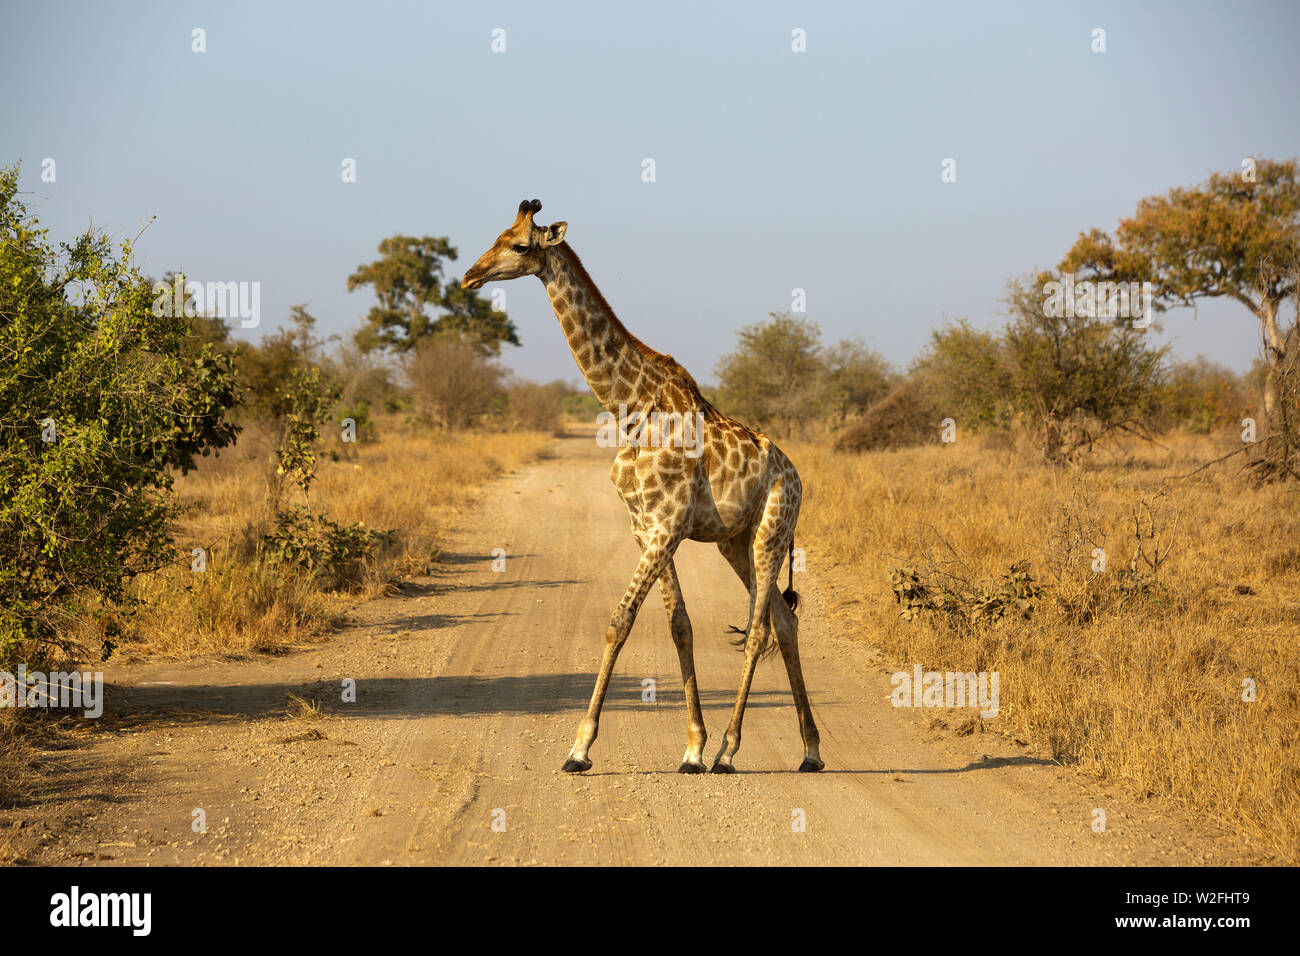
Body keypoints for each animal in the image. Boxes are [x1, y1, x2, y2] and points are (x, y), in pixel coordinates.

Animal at [460, 197, 821, 775]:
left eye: (517, 245)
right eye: (495, 235)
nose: (470, 276)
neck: (629, 408)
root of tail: (797, 477)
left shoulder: (667, 525)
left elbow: (620, 620)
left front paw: (580, 748)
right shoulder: (645, 526)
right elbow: (679, 625)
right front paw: (691, 748)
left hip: (772, 531)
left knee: (761, 628)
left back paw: (730, 750)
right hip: (734, 541)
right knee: (784, 621)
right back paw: (810, 750)